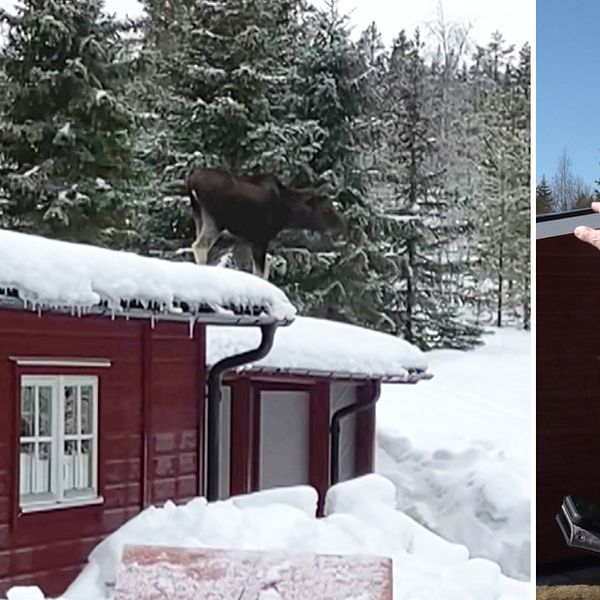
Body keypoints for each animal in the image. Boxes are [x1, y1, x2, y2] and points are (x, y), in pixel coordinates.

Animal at [183, 166, 344, 278]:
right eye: (326, 209)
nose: (341, 226)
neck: (287, 214)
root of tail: (191, 182)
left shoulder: (242, 241)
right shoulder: (260, 238)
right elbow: (260, 273)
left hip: (199, 216)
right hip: (215, 220)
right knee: (200, 245)